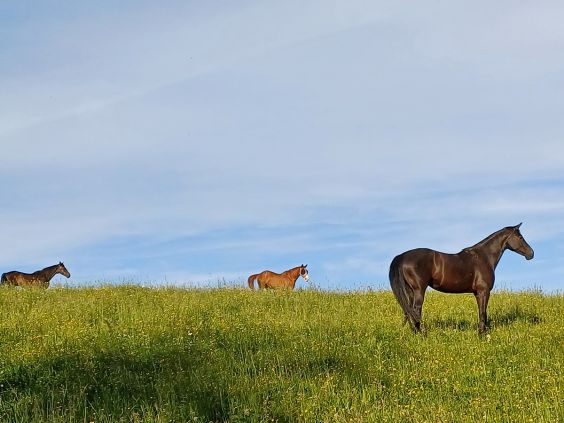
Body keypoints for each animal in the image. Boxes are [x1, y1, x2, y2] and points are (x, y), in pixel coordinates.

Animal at [390, 224, 536, 336]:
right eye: (520, 237)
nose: (531, 254)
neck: (484, 257)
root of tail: (402, 256)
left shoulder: (477, 293)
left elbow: (482, 313)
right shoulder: (484, 291)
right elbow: (483, 313)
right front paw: (482, 335)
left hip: (410, 291)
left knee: (409, 311)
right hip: (419, 290)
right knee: (415, 310)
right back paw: (421, 334)